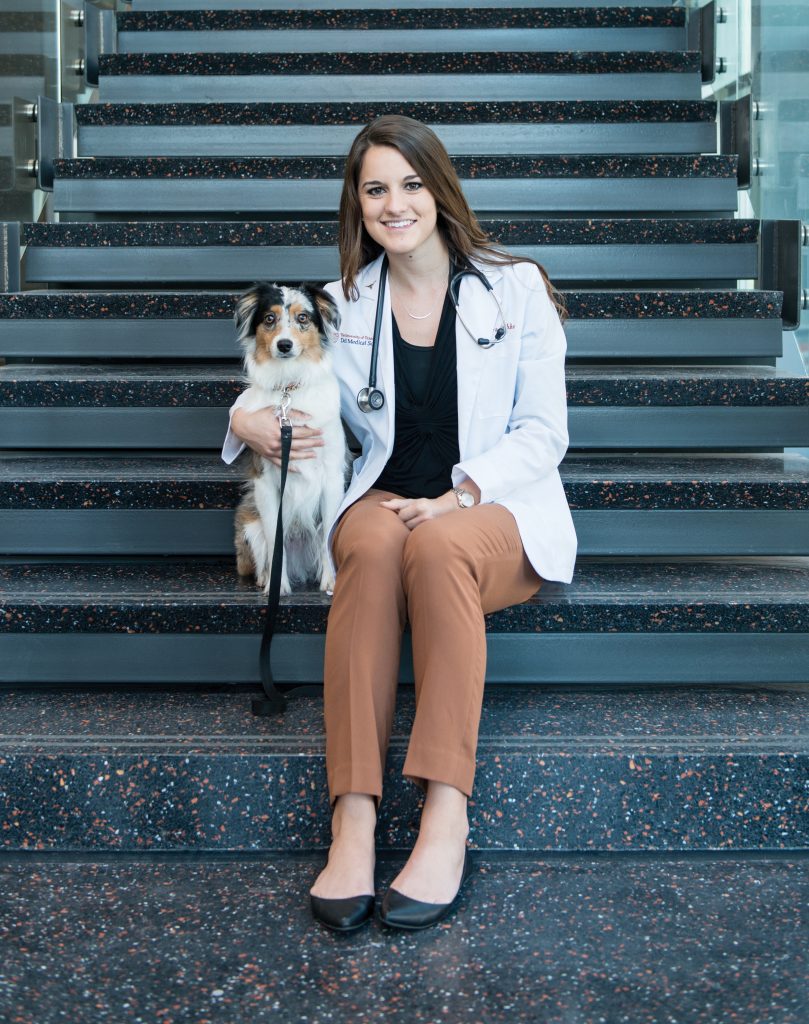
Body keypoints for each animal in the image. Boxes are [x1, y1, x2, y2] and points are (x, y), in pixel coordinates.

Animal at [232, 284, 350, 598]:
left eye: (303, 318)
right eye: (269, 319)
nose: (284, 345)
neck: (289, 388)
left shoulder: (332, 478)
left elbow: (328, 534)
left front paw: (331, 582)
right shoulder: (265, 482)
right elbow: (276, 540)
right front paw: (278, 585)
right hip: (250, 525)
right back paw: (266, 578)